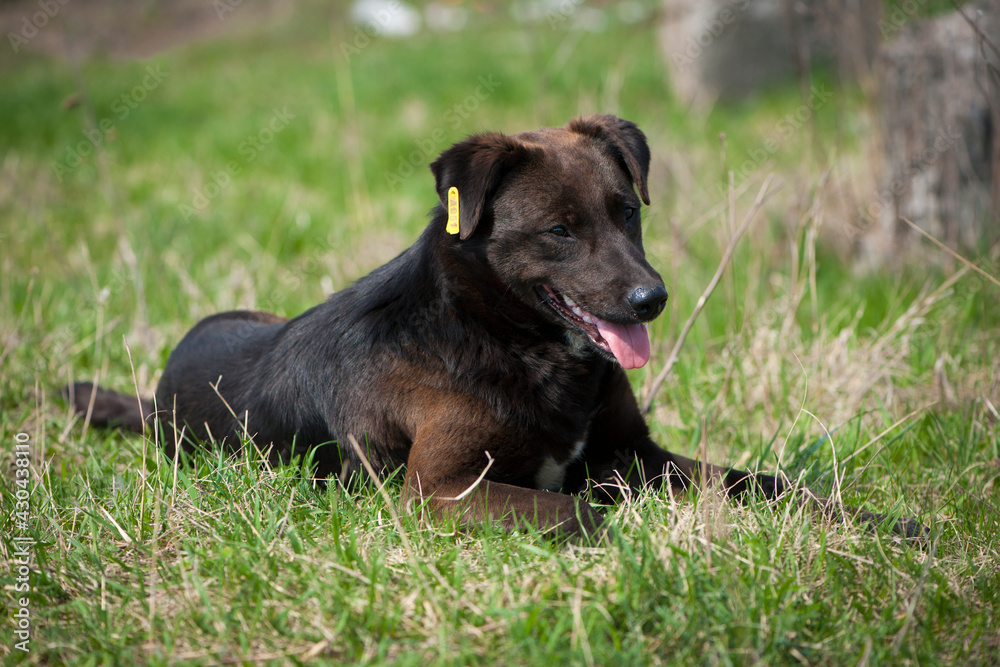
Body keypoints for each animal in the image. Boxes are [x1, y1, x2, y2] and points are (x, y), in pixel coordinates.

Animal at [68, 115, 928, 540]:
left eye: (626, 212)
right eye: (559, 231)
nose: (651, 299)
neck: (504, 337)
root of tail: (157, 393)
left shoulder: (635, 453)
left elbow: (770, 482)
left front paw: (879, 522)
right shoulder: (436, 489)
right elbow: (581, 510)